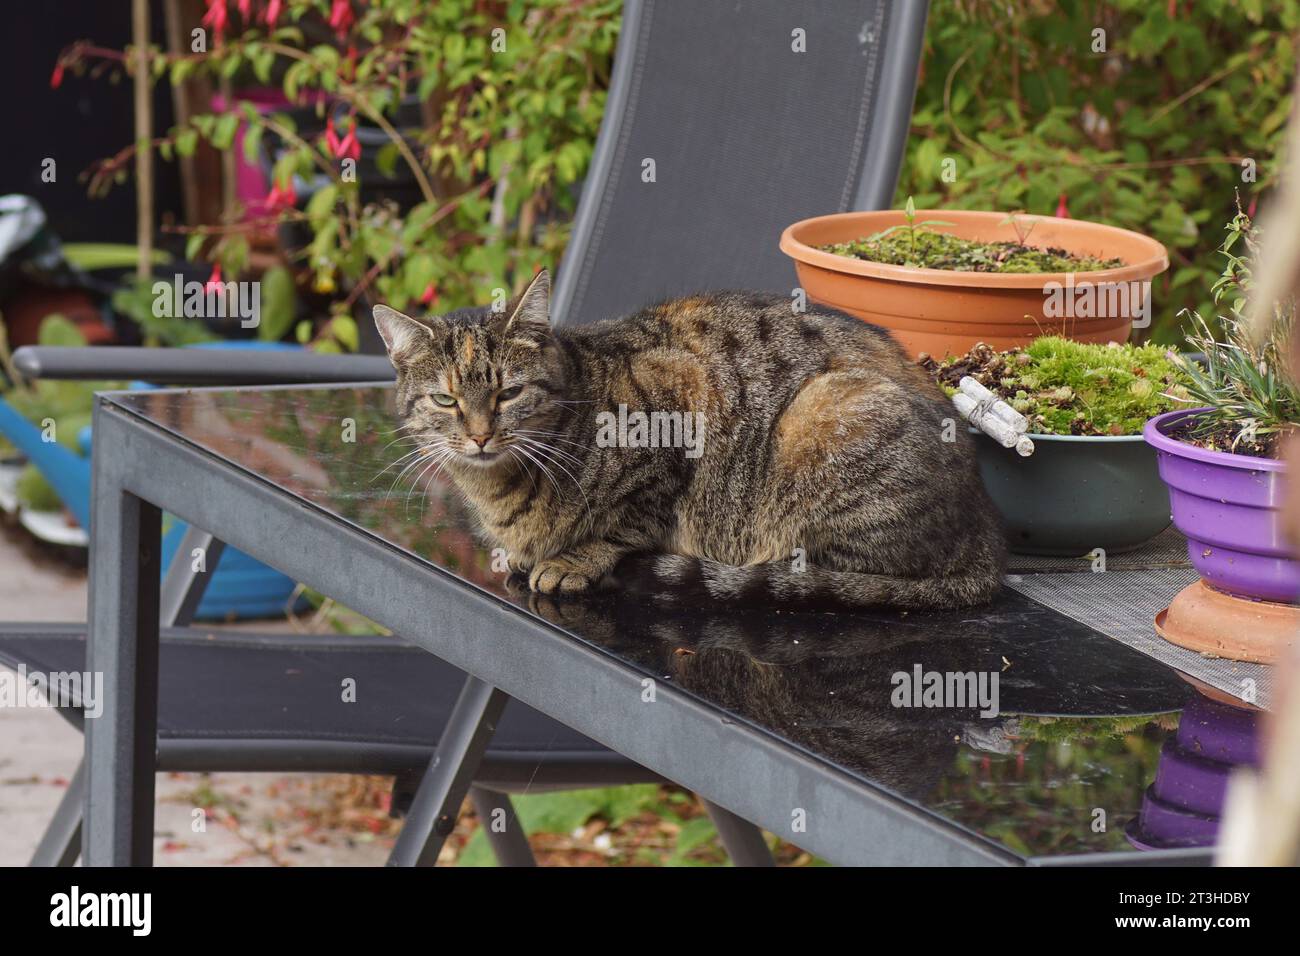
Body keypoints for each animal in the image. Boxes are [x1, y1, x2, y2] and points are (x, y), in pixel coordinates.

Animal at [377, 269, 1003, 608]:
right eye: (446, 401)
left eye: (508, 393)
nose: (481, 436)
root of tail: (988, 544)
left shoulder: (679, 401)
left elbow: (626, 519)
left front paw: (574, 557)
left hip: (823, 417)